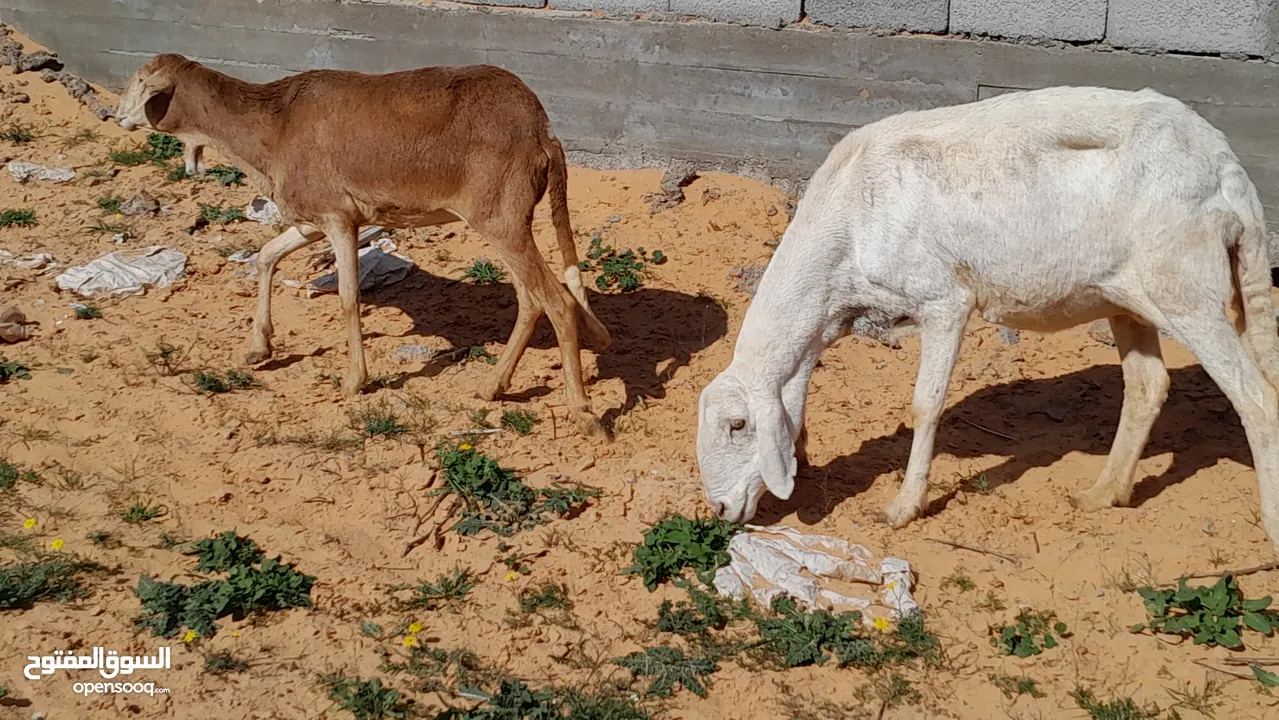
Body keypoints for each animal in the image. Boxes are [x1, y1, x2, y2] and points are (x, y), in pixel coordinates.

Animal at [695, 88, 1279, 552]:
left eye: (738, 425)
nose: (719, 510)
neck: (848, 230)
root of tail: (1226, 166)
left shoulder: (943, 301)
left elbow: (926, 404)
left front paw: (904, 507)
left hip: (1185, 288)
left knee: (1256, 400)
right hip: (1128, 294)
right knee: (1147, 385)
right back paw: (1103, 493)